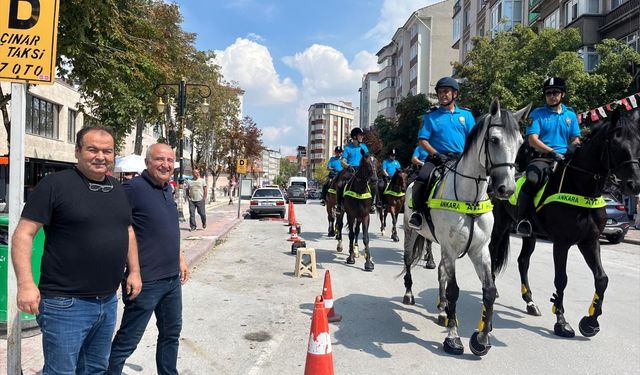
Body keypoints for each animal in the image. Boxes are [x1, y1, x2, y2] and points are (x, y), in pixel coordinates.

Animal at [400, 100, 528, 358]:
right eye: (494, 140)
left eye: (520, 142)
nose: (507, 189)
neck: (471, 199)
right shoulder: (451, 249)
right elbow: (454, 290)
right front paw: (453, 338)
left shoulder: (480, 250)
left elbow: (489, 291)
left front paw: (481, 339)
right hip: (411, 233)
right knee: (408, 260)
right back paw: (409, 295)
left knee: (440, 271)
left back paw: (441, 311)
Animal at [490, 108, 640, 338]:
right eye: (616, 144)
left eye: (638, 143)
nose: (635, 185)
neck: (580, 188)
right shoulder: (561, 243)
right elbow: (561, 279)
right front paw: (561, 322)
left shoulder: (589, 241)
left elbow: (602, 279)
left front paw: (590, 322)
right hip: (500, 225)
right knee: (492, 250)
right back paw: (493, 289)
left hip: (530, 235)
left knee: (523, 261)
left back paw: (530, 302)